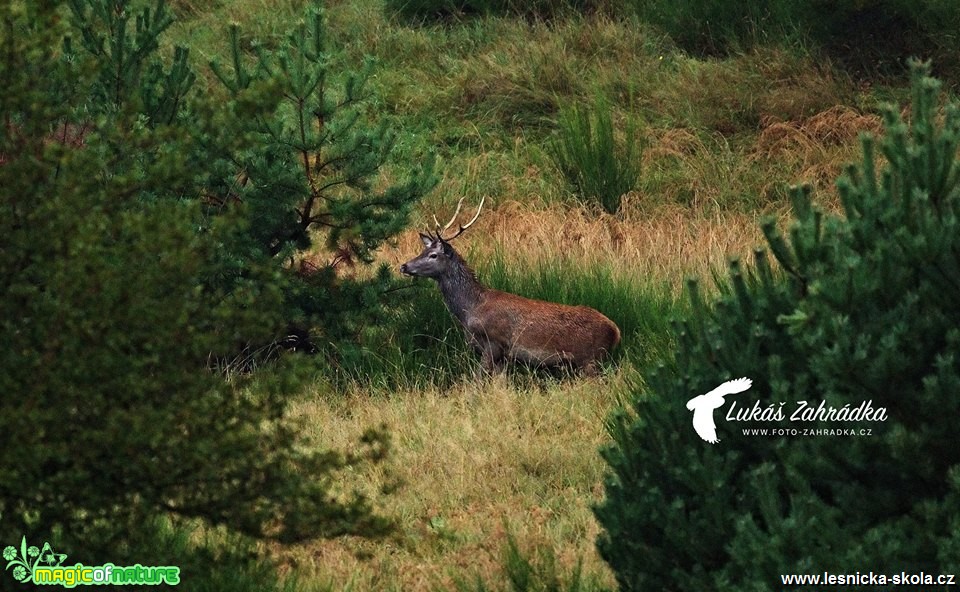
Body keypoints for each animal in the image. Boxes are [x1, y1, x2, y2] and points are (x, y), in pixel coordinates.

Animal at [398, 199, 624, 374]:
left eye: (433, 255)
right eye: (422, 251)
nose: (404, 266)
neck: (470, 310)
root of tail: (616, 331)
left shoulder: (494, 342)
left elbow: (477, 379)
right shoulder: (503, 355)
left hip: (590, 359)